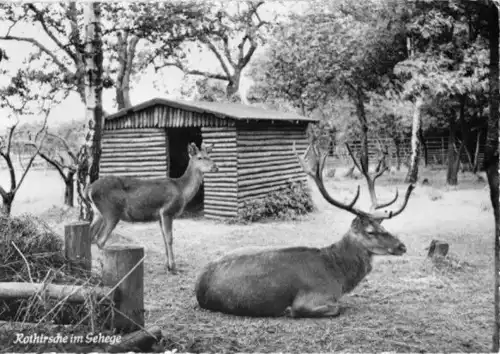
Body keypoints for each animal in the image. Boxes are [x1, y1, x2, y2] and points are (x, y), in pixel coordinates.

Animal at [85, 141, 217, 272]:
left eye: (209, 156)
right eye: (200, 157)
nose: (216, 167)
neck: (182, 190)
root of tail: (89, 189)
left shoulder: (160, 216)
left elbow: (164, 239)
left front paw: (167, 266)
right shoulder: (167, 211)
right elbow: (169, 238)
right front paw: (173, 267)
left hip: (98, 213)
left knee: (90, 235)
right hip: (111, 212)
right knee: (100, 239)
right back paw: (102, 267)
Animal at [195, 142, 414, 316]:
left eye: (382, 225)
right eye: (370, 231)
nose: (402, 246)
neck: (337, 276)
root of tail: (198, 283)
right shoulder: (309, 299)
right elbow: (337, 308)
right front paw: (288, 311)